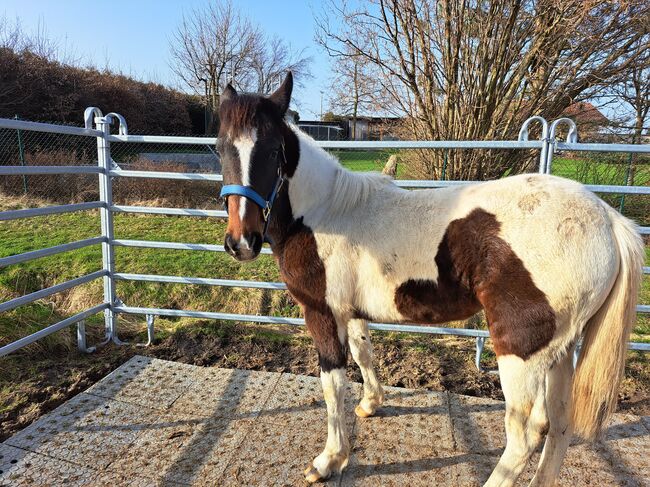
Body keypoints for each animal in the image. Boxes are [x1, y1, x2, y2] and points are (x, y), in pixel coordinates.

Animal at [216, 73, 644, 487]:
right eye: (220, 148)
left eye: (274, 151)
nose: (241, 243)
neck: (325, 212)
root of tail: (609, 219)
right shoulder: (351, 312)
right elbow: (363, 353)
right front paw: (371, 403)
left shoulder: (322, 313)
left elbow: (333, 385)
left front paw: (329, 460)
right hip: (561, 352)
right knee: (558, 425)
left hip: (521, 352)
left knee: (525, 434)